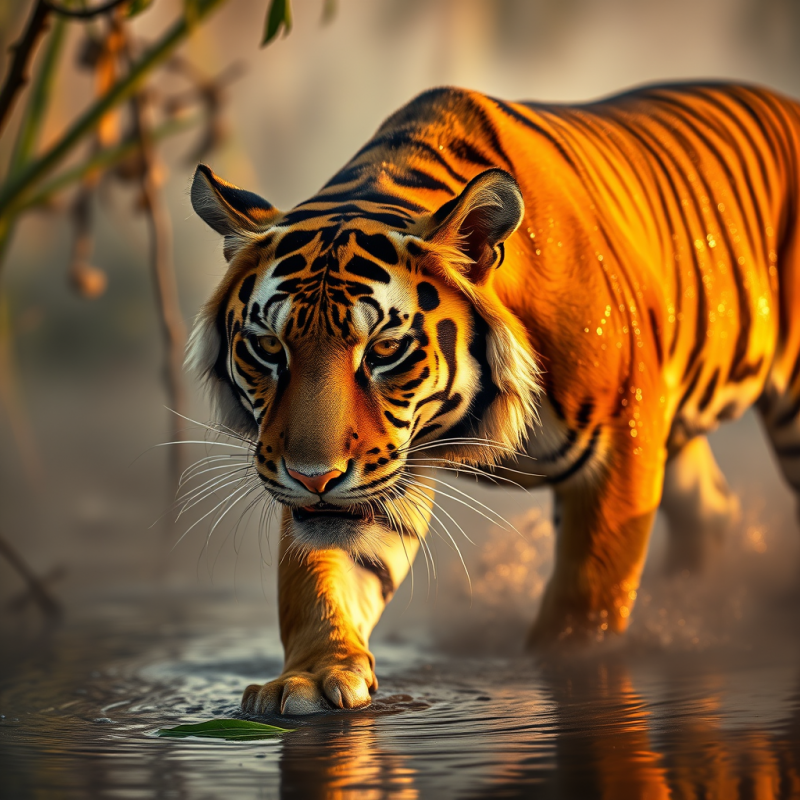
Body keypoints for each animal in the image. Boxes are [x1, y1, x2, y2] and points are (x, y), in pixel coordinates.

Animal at [187, 82, 800, 715]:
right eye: (268, 346)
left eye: (384, 349)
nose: (313, 477)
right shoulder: (376, 476)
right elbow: (321, 577)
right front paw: (307, 678)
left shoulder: (620, 443)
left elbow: (589, 595)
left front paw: (565, 668)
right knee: (712, 508)